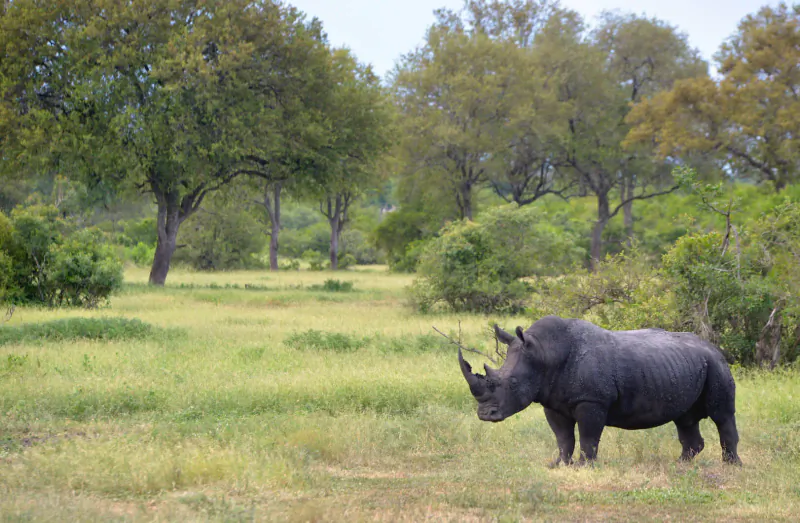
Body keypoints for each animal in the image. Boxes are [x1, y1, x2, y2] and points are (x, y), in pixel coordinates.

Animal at [458, 316, 741, 466]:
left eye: (514, 384)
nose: (485, 414)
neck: (544, 353)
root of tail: (712, 347)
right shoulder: (551, 400)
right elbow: (563, 438)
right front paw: (559, 465)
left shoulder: (592, 401)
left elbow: (588, 437)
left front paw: (585, 466)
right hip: (686, 365)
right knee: (685, 419)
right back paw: (681, 464)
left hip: (716, 365)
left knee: (722, 415)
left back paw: (731, 466)